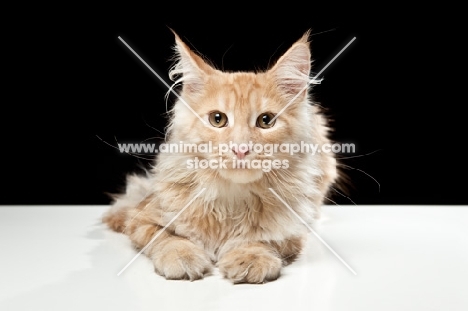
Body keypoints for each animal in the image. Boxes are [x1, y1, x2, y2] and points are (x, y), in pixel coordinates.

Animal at [103, 30, 336, 284]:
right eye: (218, 119)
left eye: (266, 121)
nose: (241, 149)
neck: (231, 200)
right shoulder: (141, 217)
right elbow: (167, 238)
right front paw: (183, 256)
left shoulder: (293, 231)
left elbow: (260, 240)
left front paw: (250, 257)